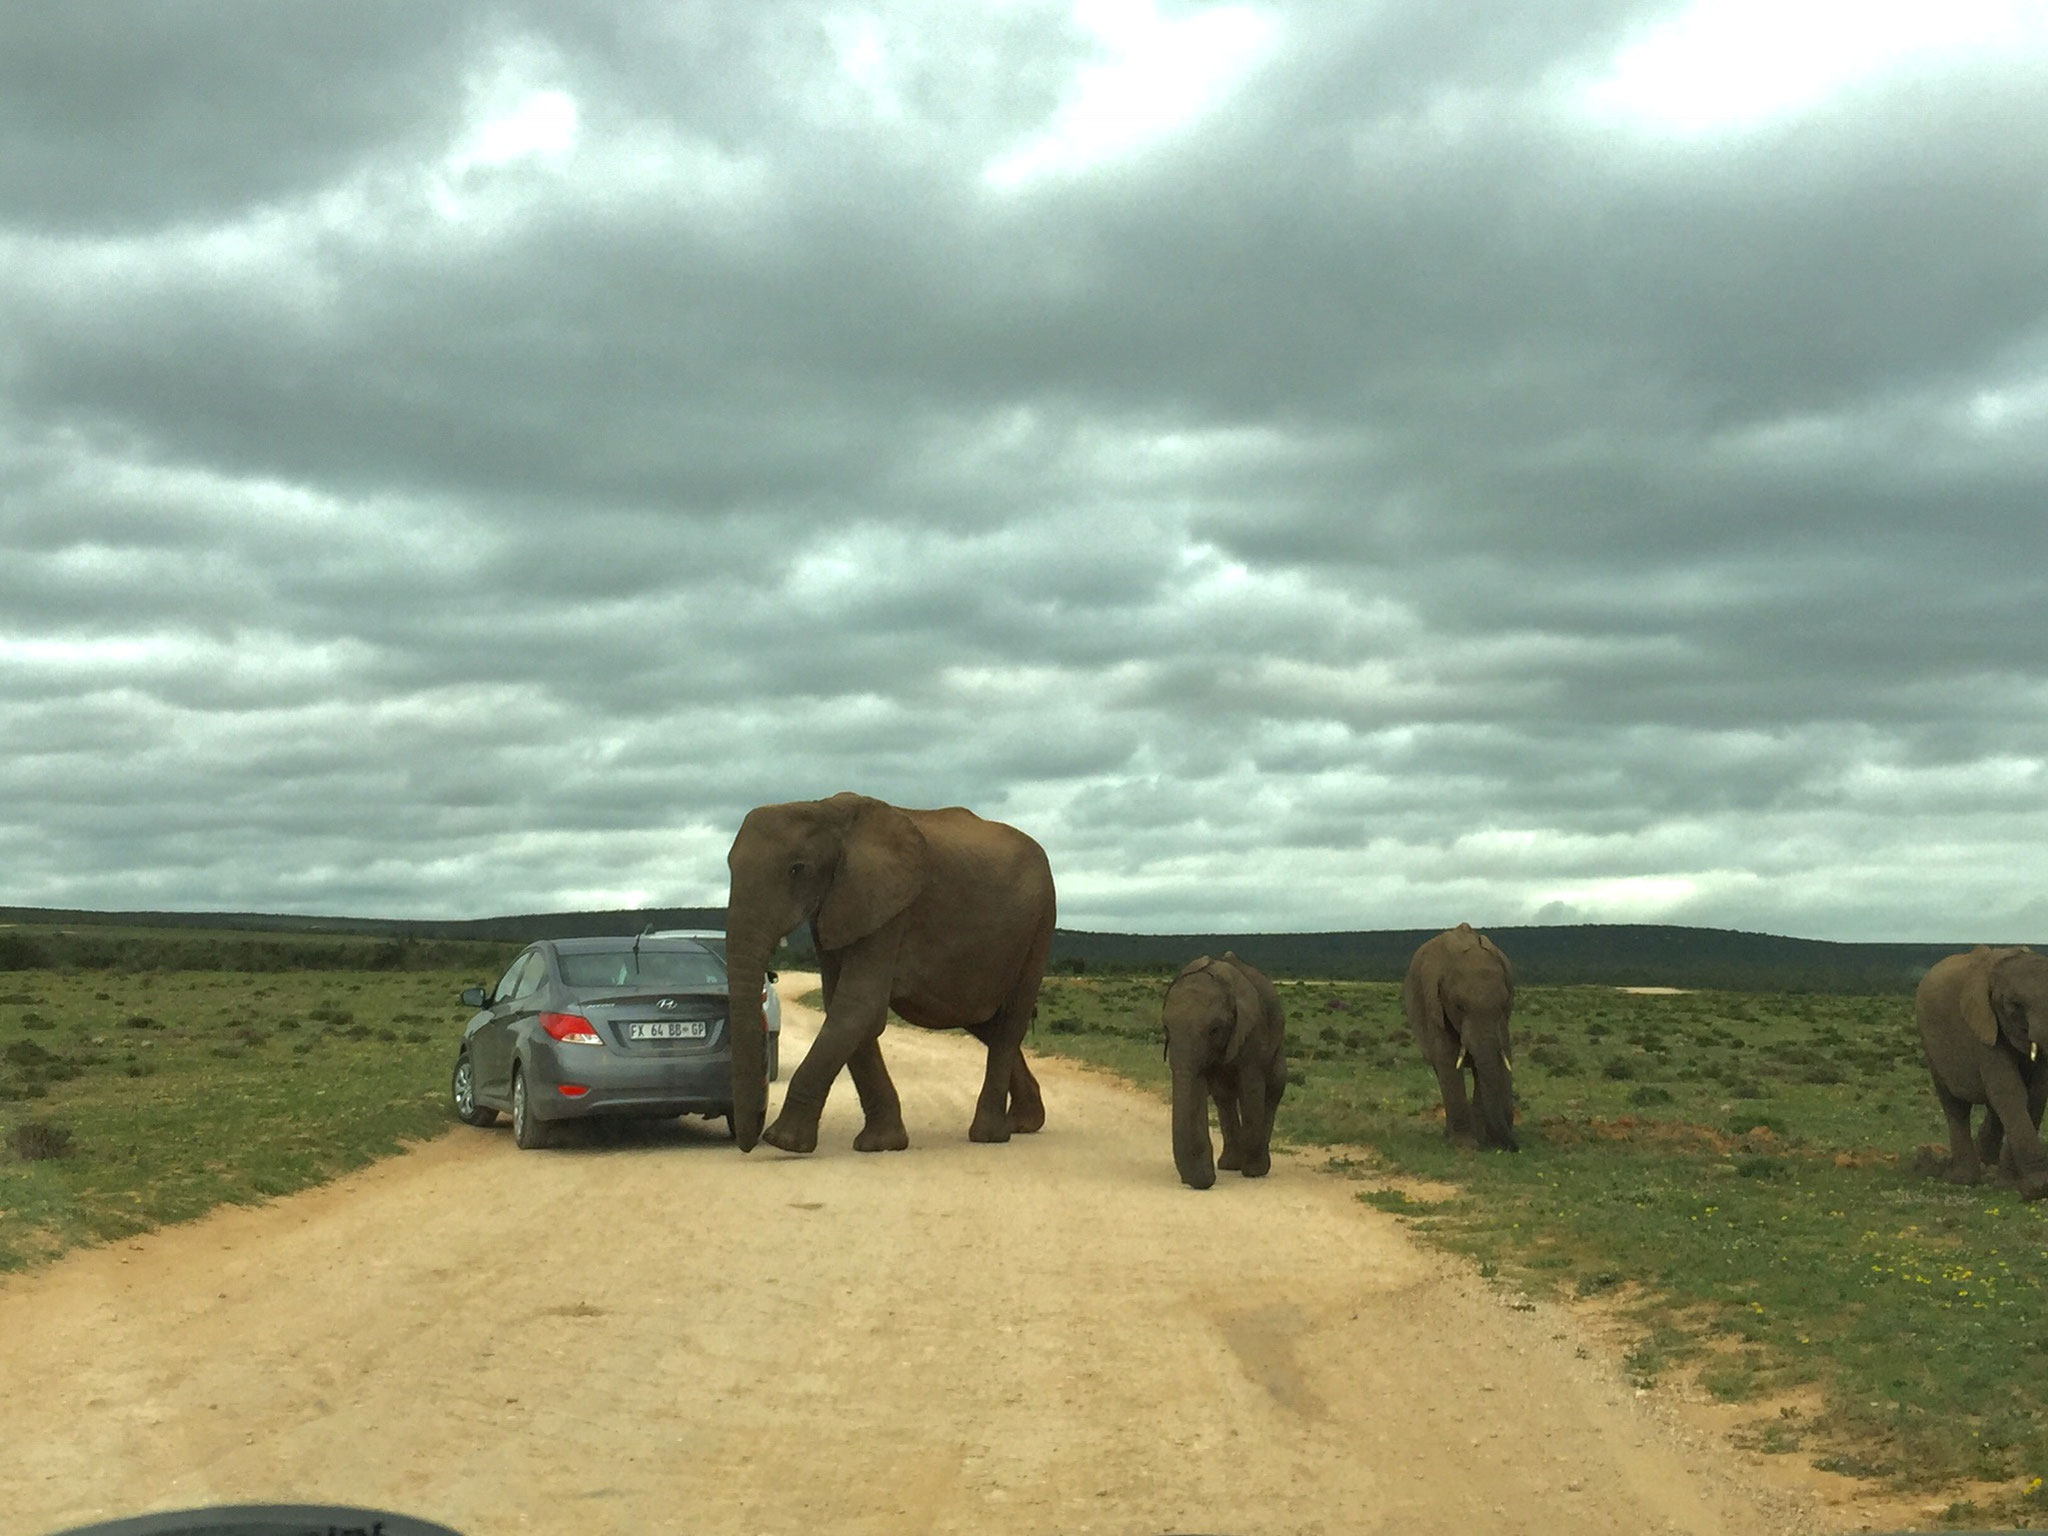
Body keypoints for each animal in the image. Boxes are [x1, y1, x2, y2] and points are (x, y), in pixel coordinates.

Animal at [720, 794, 1056, 1155]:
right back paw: (1025, 1122)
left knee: (1009, 1022)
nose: (750, 1141)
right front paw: (882, 1144)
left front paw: (784, 1143)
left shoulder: (889, 907)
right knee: (984, 1022)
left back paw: (990, 1135)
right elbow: (844, 1006)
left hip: (1040, 924)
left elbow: (857, 1006)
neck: (825, 809)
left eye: (797, 869)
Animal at [1163, 958, 1286, 1196]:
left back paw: (1254, 1166)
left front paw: (1253, 1171)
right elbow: (1203, 1088)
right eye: (1166, 1029)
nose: (1208, 1179)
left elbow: (1251, 1089)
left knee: (1274, 1089)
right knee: (1224, 1097)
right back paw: (1229, 1165)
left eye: (1215, 1030)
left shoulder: (1253, 1031)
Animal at [1400, 925, 1515, 1155]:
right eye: (1460, 1006)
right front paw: (1465, 1145)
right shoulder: (1434, 1007)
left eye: (1503, 1005)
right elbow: (1447, 1059)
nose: (1514, 1148)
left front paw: (1483, 1142)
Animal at [1908, 946, 2048, 1212]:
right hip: (1929, 1042)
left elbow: (2035, 1095)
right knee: (1955, 1105)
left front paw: (2010, 1184)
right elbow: (2009, 1091)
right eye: (2014, 1004)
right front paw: (2034, 1189)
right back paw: (1963, 1179)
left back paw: (1988, 1163)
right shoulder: (1982, 1027)